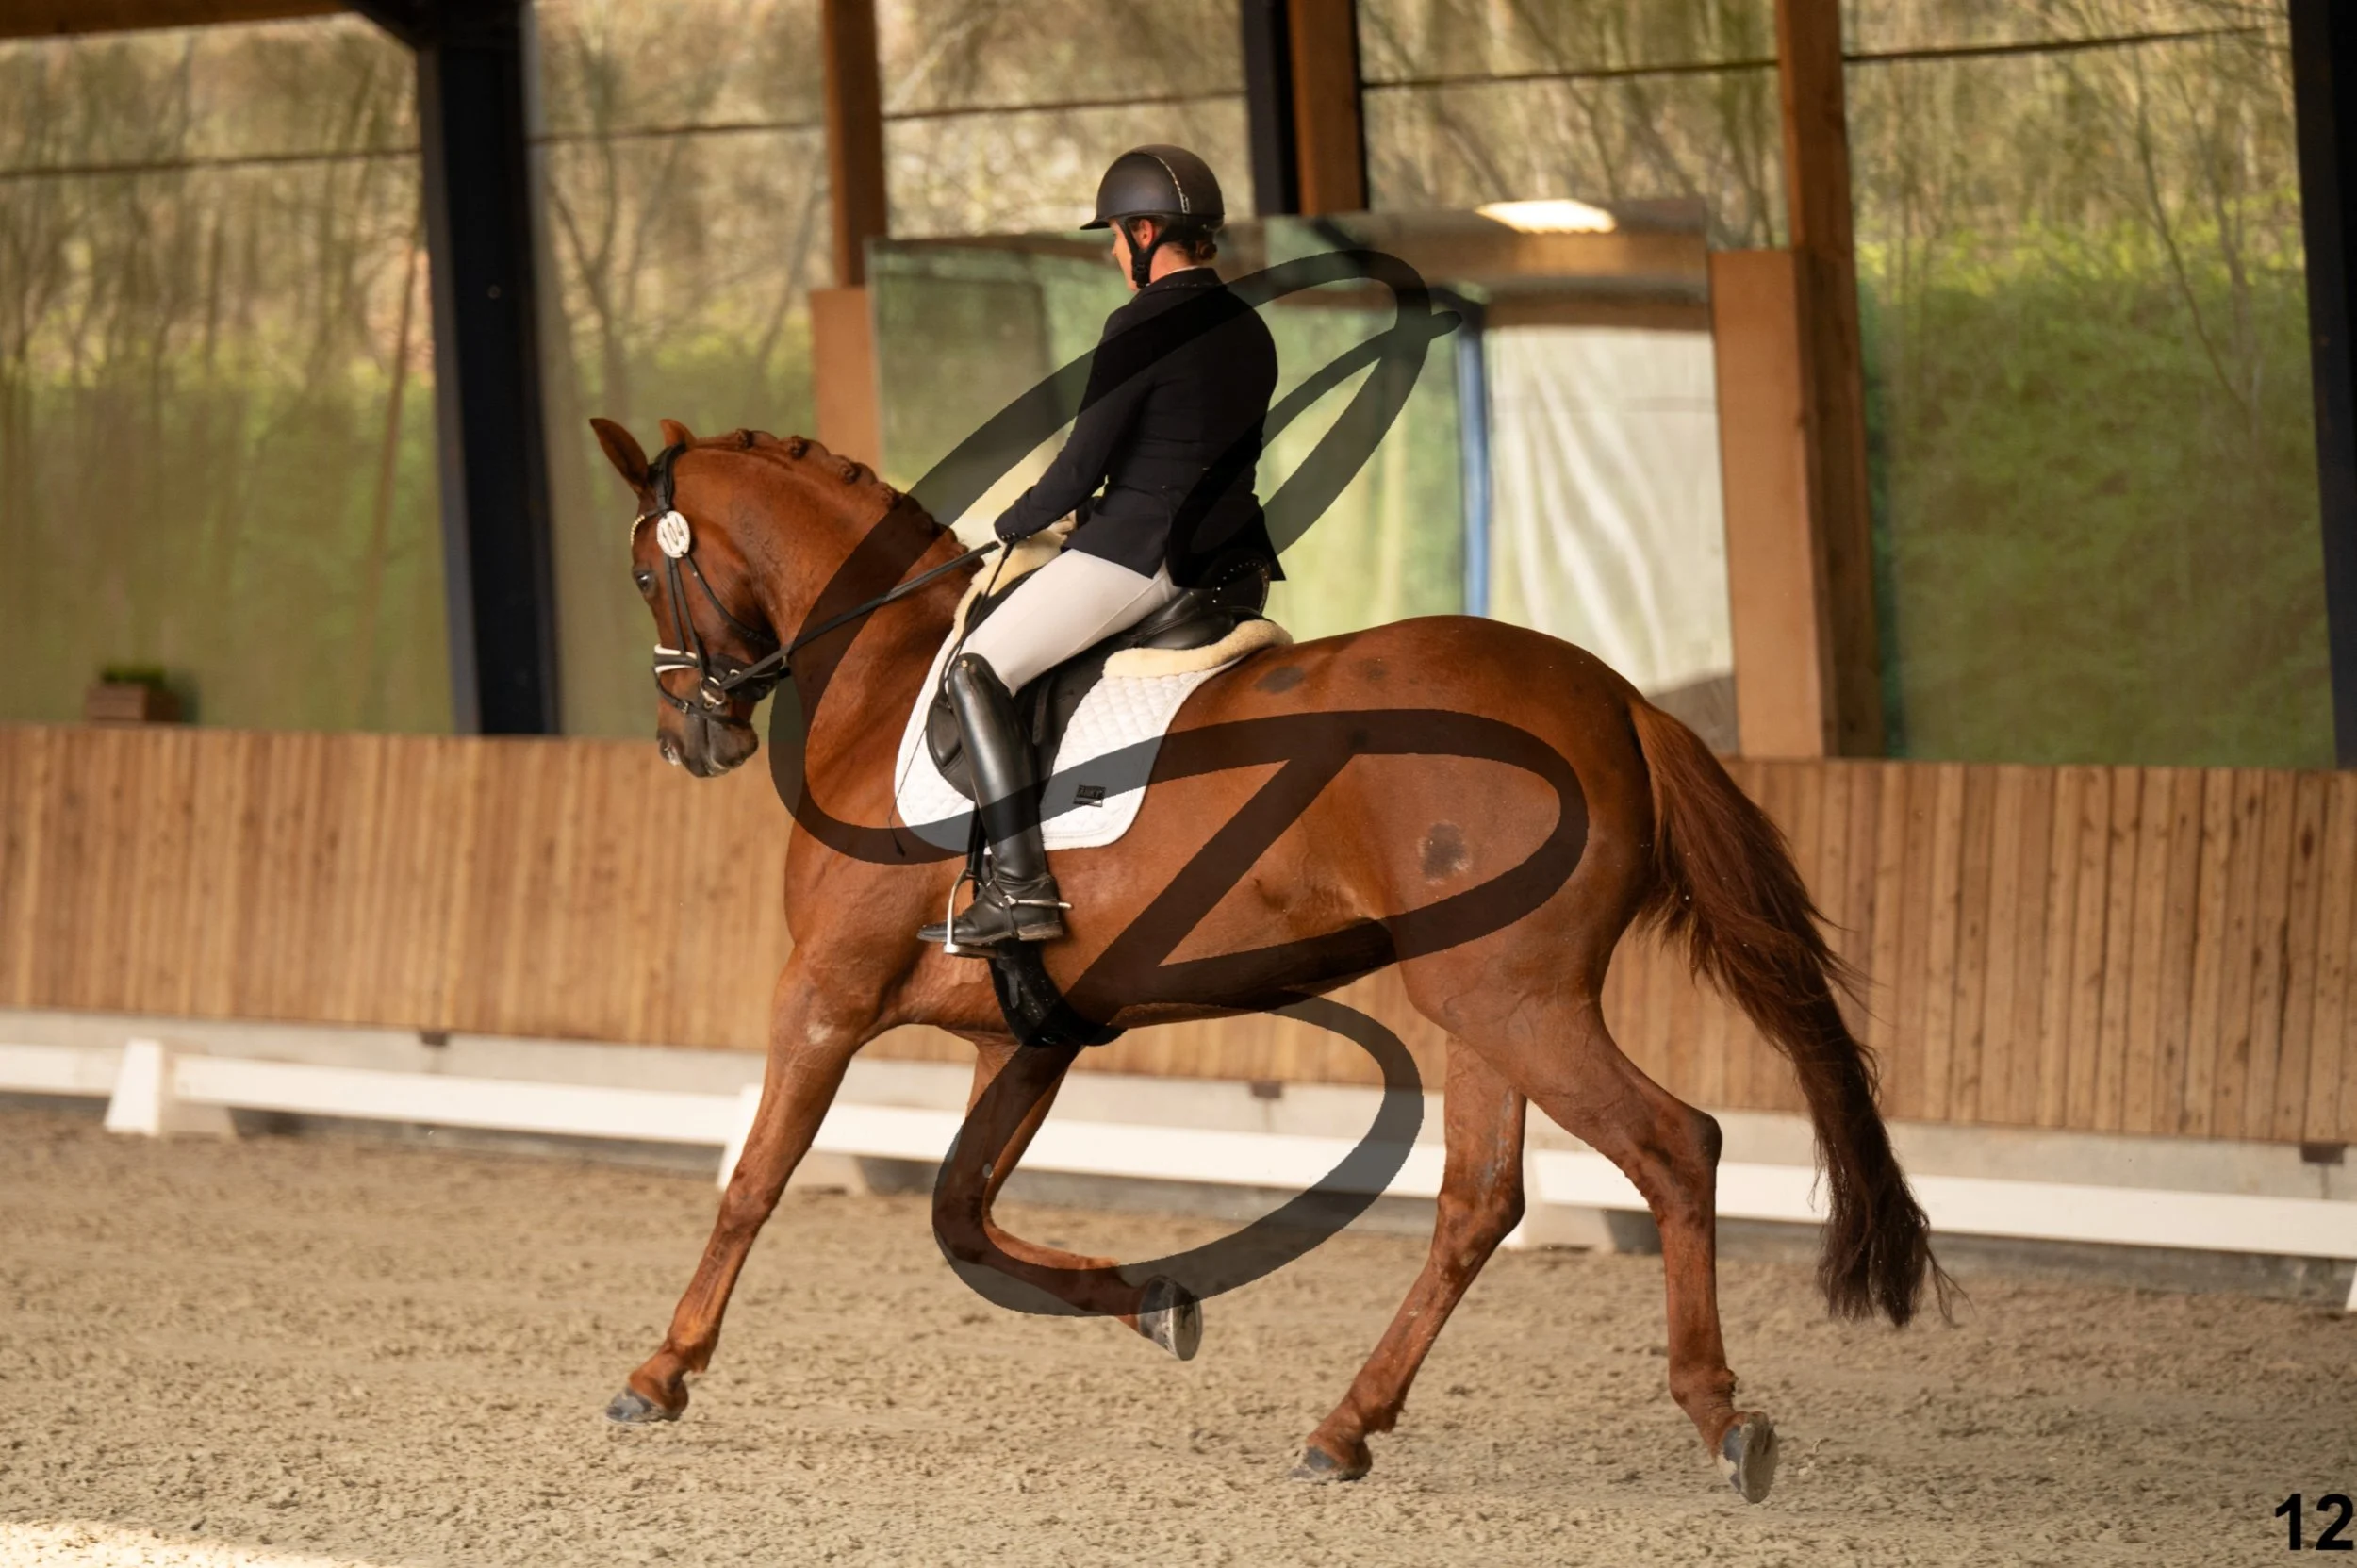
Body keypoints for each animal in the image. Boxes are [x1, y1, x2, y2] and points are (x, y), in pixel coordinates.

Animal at [591, 415, 1944, 1502]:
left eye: (643, 570)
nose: (688, 738)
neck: (884, 683)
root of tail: (1612, 697)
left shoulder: (825, 989)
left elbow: (755, 1181)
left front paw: (661, 1370)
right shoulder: (1022, 1031)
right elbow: (964, 1220)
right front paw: (1160, 1302)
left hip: (1514, 999)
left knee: (1673, 1145)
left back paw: (1721, 1414)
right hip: (1487, 1003)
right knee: (1480, 1200)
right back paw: (1345, 1427)